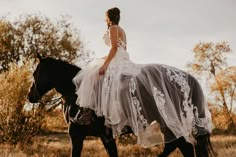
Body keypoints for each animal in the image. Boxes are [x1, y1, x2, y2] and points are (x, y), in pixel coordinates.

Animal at [27, 55, 216, 157]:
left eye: (36, 73)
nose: (30, 96)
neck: (76, 92)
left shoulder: (76, 135)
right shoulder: (105, 136)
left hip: (170, 122)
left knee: (182, 146)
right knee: (177, 146)